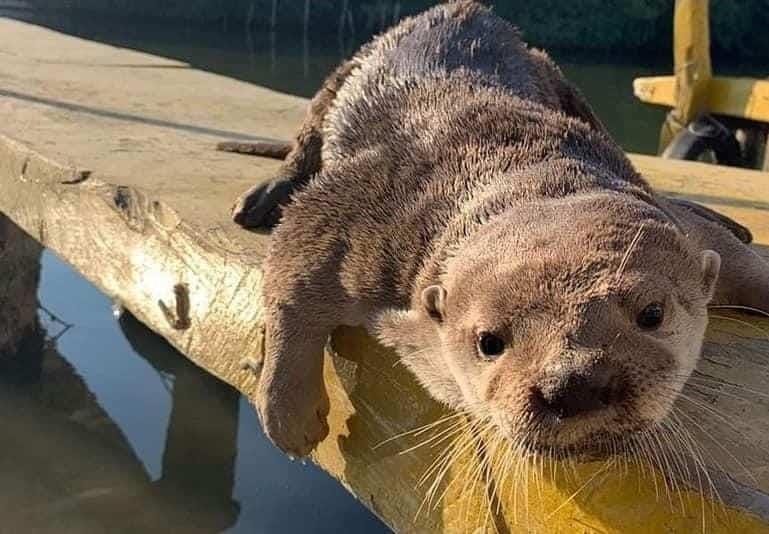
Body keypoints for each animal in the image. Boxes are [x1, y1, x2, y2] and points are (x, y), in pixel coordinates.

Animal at [228, 1, 768, 460]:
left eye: (653, 313)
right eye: (488, 341)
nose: (575, 384)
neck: (505, 165)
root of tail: (462, 8)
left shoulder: (681, 230)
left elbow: (734, 261)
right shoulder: (359, 212)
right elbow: (292, 279)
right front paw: (287, 415)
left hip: (560, 80)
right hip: (345, 73)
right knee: (310, 134)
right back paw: (265, 196)